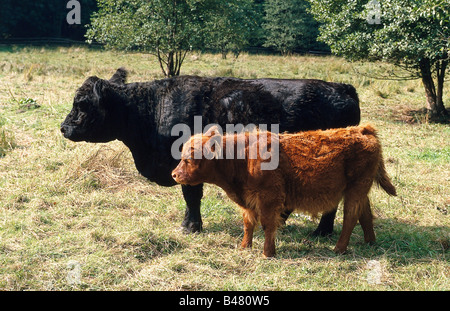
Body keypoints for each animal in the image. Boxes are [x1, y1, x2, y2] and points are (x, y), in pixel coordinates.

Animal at [61, 67, 360, 234]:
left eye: (82, 103)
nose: (63, 127)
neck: (150, 108)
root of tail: (342, 88)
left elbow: (191, 196)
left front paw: (190, 227)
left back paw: (321, 232)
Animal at [172, 125, 398, 258]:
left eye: (189, 158)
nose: (174, 174)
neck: (242, 159)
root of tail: (361, 129)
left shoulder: (269, 198)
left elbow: (267, 225)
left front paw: (268, 253)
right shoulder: (248, 202)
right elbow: (248, 224)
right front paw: (245, 247)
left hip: (356, 189)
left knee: (351, 216)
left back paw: (340, 249)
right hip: (360, 191)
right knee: (365, 213)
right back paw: (370, 242)